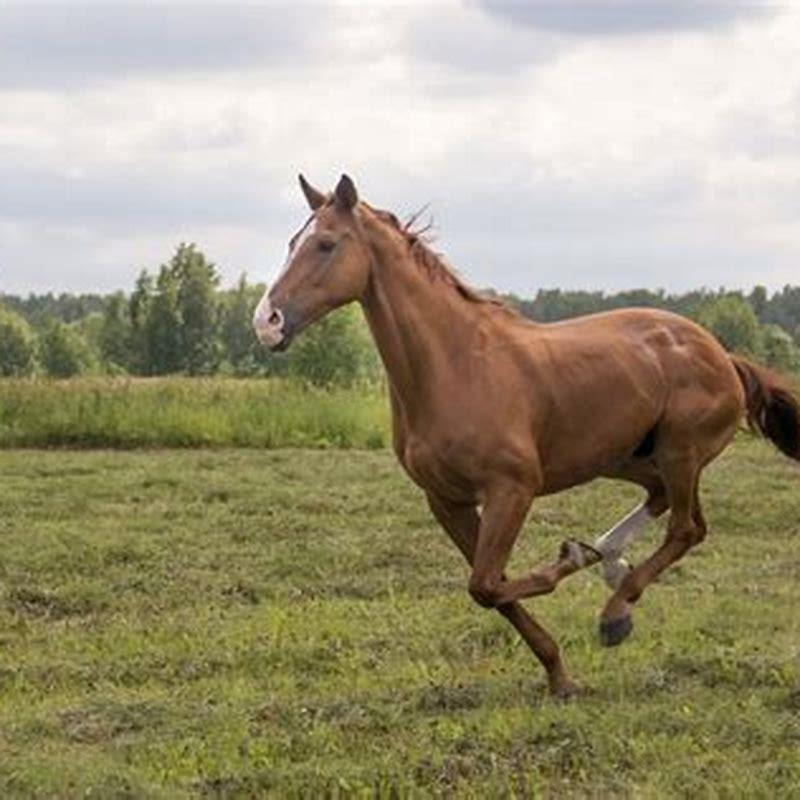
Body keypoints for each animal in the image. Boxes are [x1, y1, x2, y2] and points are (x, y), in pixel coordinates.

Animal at [253, 174, 800, 698]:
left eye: (325, 244)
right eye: (292, 242)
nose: (266, 321)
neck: (453, 366)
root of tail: (723, 355)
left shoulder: (511, 489)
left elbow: (487, 584)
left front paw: (570, 559)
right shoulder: (446, 500)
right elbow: (489, 587)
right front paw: (560, 677)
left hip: (679, 450)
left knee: (686, 528)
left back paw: (614, 610)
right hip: (624, 456)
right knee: (666, 503)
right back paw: (609, 560)